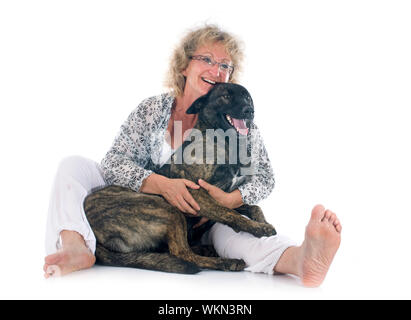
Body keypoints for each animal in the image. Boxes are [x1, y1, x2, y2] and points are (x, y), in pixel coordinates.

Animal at [83, 84, 276, 274]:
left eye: (247, 97)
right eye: (226, 96)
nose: (249, 110)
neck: (226, 142)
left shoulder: (226, 196)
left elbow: (252, 207)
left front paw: (262, 222)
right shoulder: (195, 192)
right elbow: (230, 213)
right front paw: (260, 228)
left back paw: (208, 249)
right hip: (166, 209)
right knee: (182, 253)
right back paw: (226, 262)